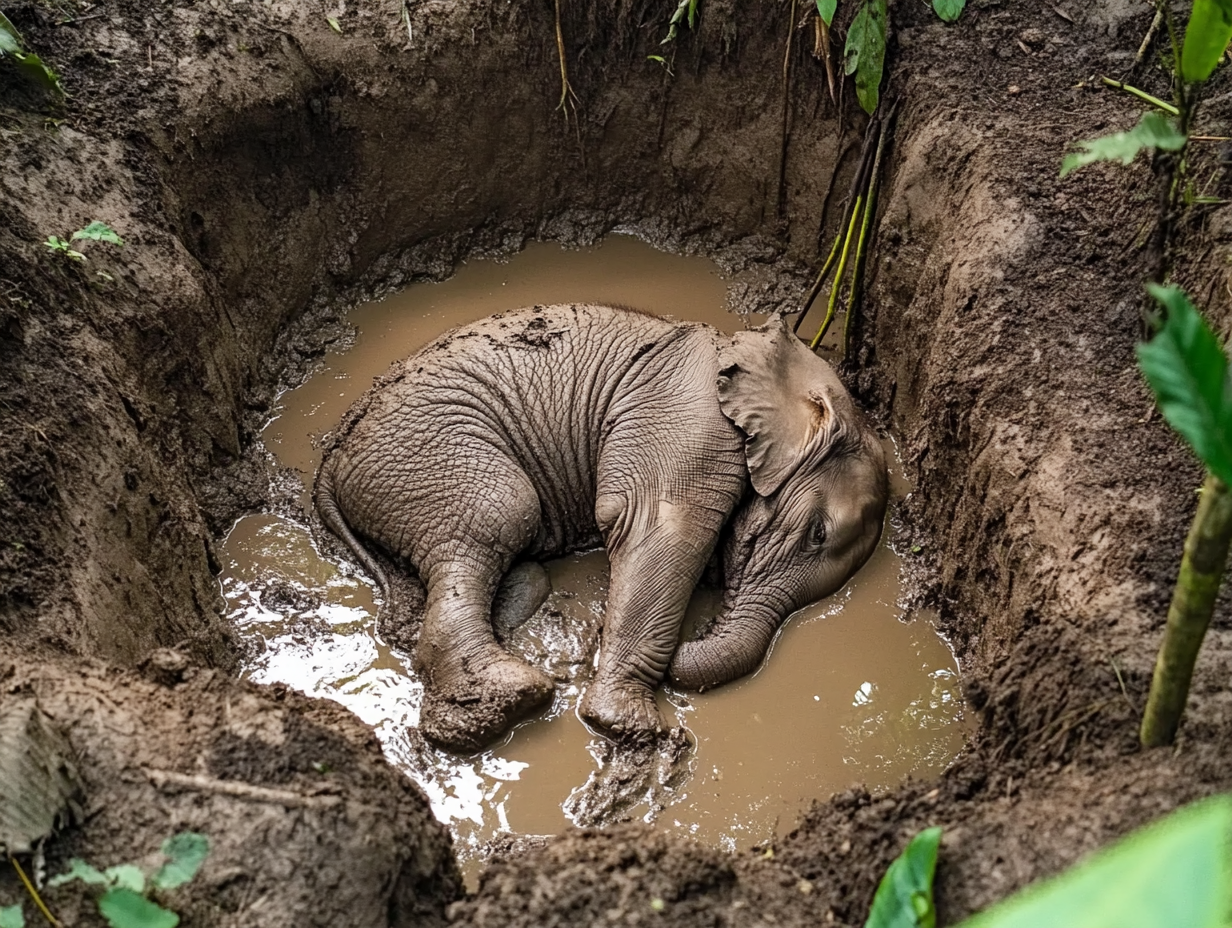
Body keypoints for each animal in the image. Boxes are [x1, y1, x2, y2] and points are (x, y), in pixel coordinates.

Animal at [315, 303, 888, 753]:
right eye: (817, 533)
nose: (689, 641)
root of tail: (330, 460)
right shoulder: (693, 422)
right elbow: (660, 529)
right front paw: (629, 726)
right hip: (432, 455)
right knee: (500, 515)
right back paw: (510, 701)